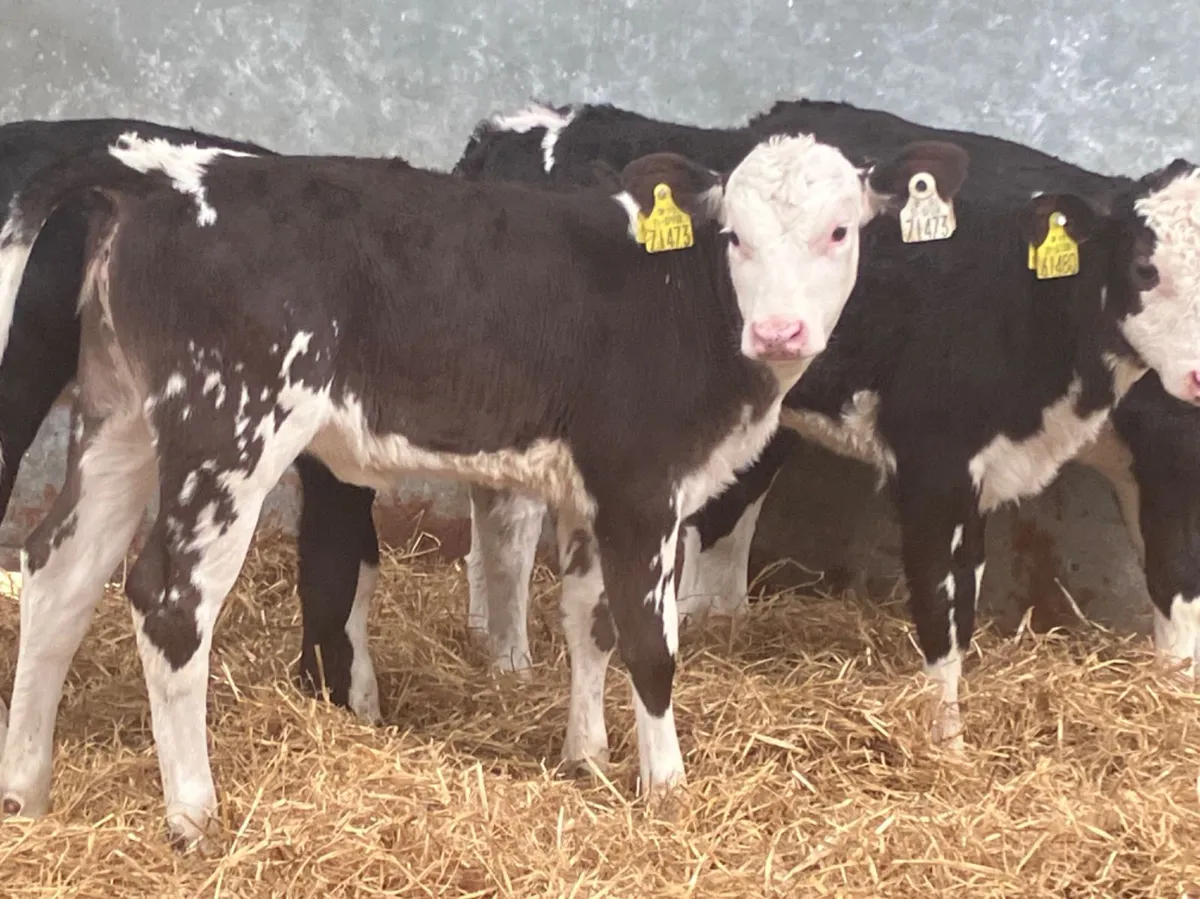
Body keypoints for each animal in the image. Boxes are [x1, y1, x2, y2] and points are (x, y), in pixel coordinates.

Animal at [438, 99, 1200, 753]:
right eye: (1144, 266)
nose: (1197, 375)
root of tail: (516, 126)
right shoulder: (936, 464)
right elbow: (948, 616)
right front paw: (947, 747)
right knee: (509, 536)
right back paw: (512, 666)